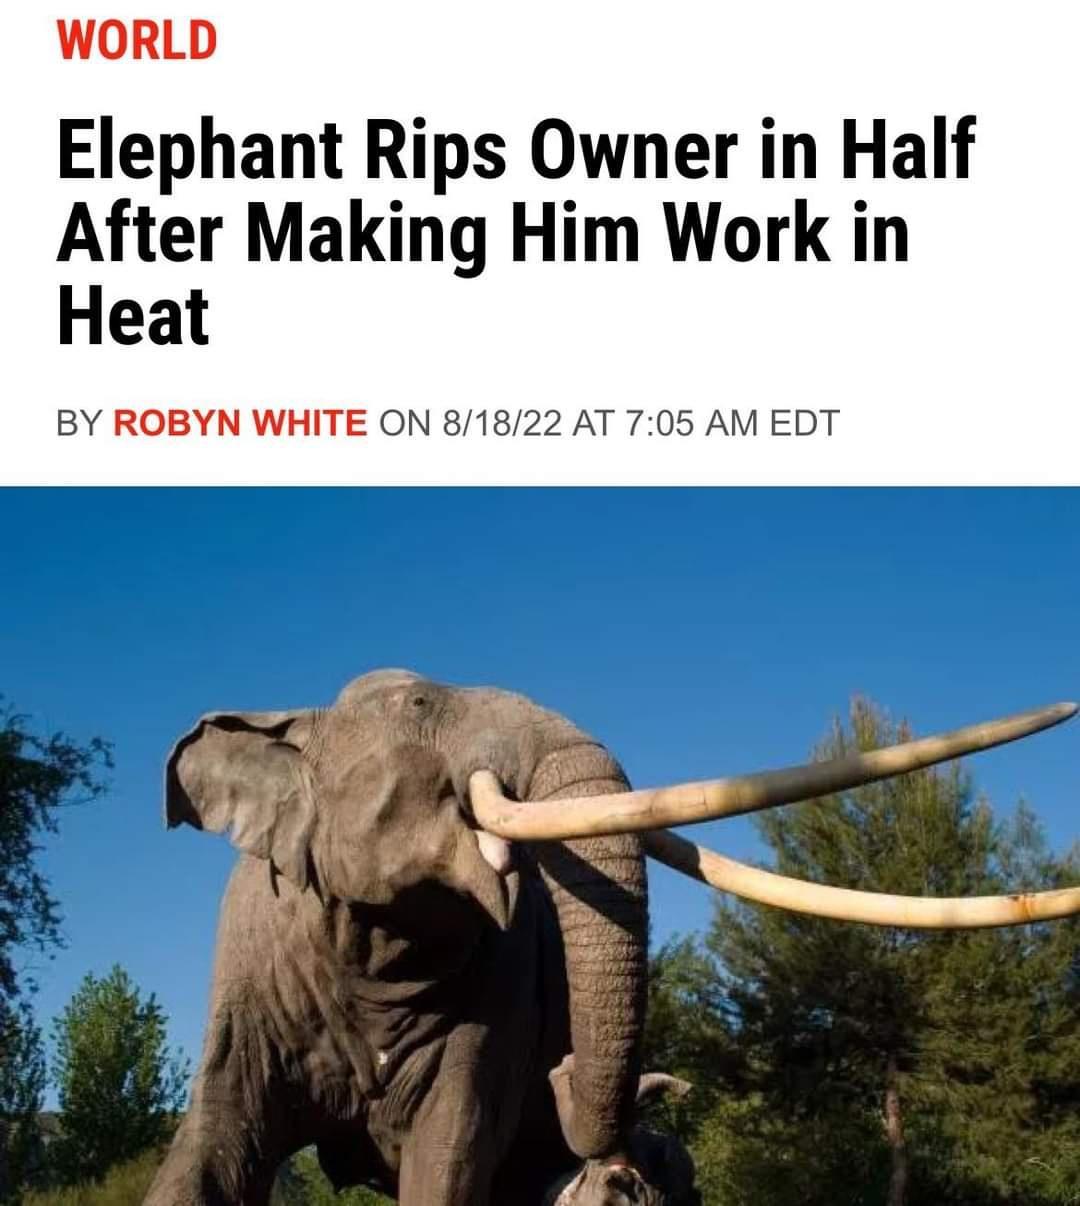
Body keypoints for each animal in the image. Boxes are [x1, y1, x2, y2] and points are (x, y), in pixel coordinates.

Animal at [145, 670, 1078, 1206]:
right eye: (418, 702)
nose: (558, 1072)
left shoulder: (499, 995)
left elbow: (451, 1155)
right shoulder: (248, 979)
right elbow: (211, 1146)